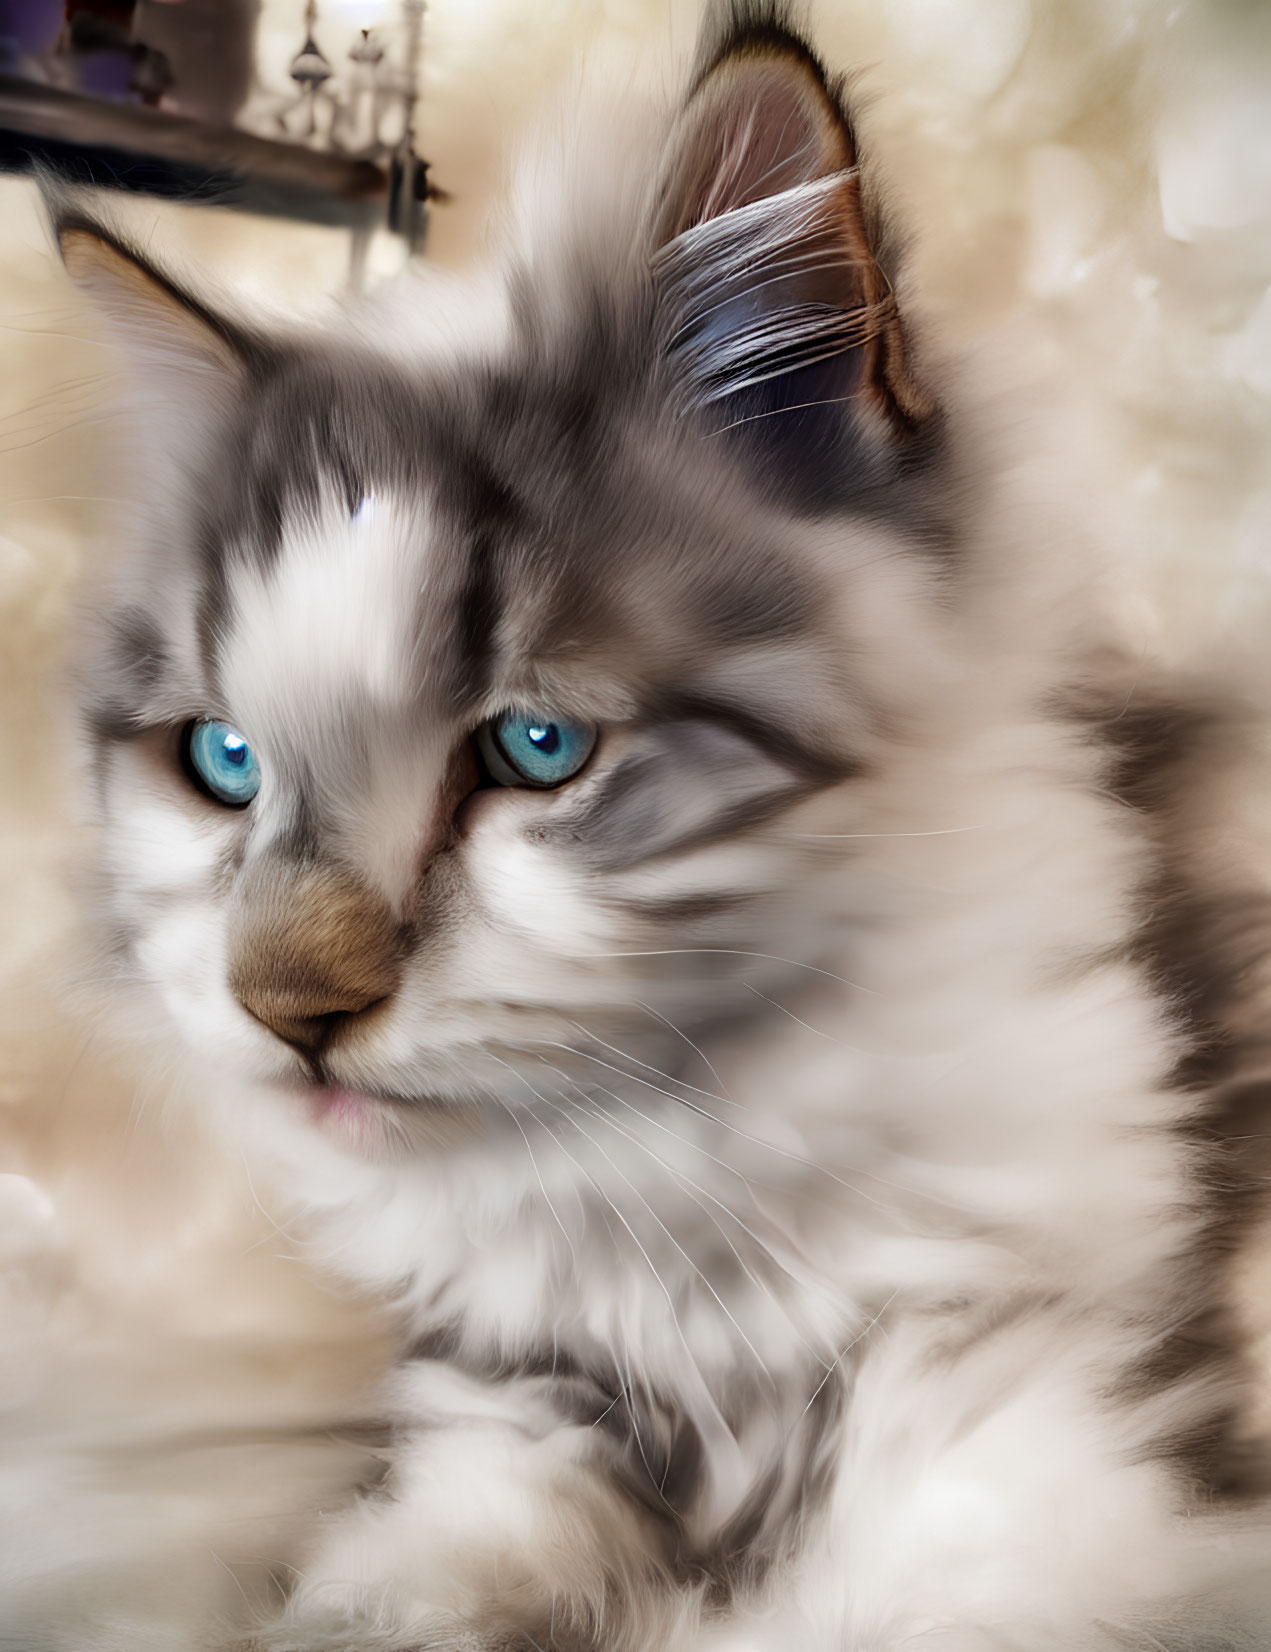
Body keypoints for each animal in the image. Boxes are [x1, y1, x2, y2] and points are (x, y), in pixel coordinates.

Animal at [44, 3, 1269, 1652]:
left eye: (535, 748)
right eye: (224, 761)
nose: (285, 1010)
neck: (673, 1161)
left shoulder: (1042, 1402)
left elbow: (876, 1613)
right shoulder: (503, 1401)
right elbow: (410, 1579)